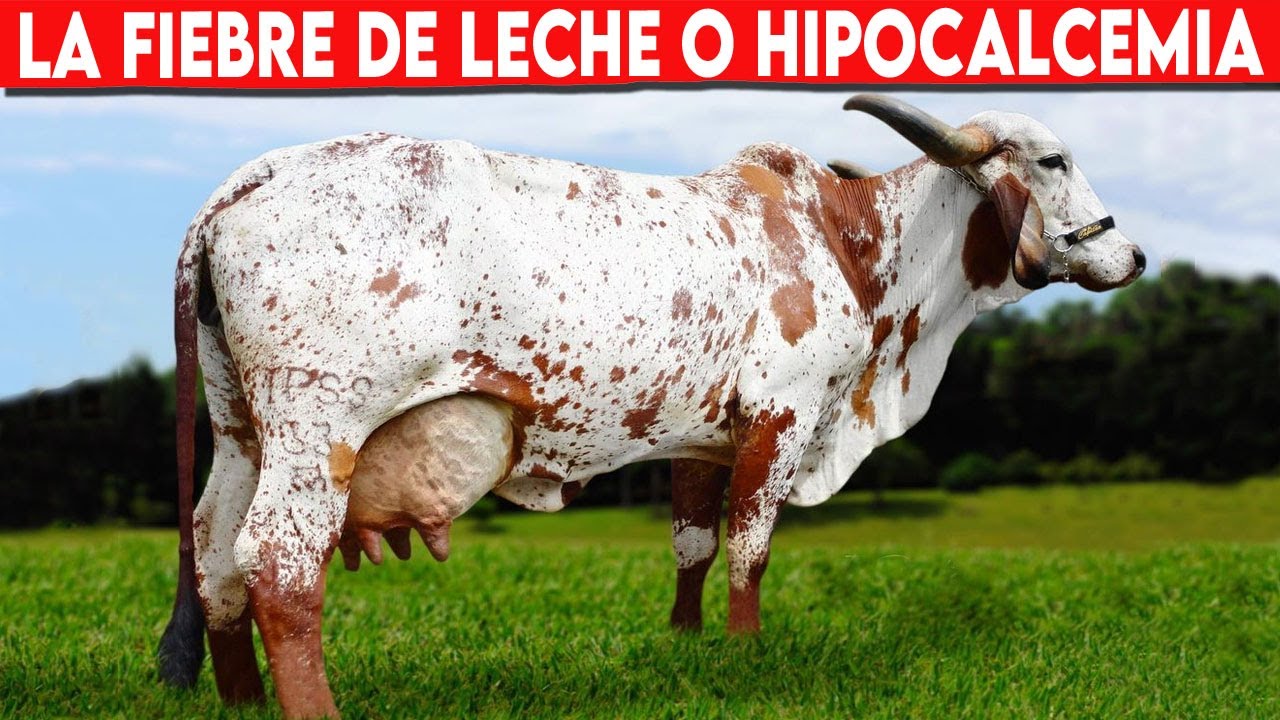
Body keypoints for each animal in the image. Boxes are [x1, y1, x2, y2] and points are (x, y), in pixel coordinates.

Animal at [157, 95, 1145, 718]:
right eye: (1053, 161)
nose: (1132, 255)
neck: (851, 244)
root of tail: (250, 178)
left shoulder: (703, 442)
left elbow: (693, 546)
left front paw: (688, 644)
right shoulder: (780, 419)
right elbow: (749, 550)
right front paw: (746, 657)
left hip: (243, 429)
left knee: (215, 551)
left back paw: (242, 703)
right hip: (318, 425)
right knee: (279, 560)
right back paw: (310, 708)